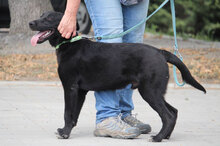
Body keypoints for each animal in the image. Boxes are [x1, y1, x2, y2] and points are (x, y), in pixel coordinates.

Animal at [29, 12, 206, 142]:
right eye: (41, 15)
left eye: (49, 18)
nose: (31, 23)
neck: (69, 43)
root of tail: (161, 52)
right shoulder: (80, 92)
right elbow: (74, 115)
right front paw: (67, 130)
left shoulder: (70, 87)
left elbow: (67, 112)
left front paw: (64, 133)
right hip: (155, 91)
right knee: (174, 111)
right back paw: (166, 136)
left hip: (149, 91)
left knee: (168, 116)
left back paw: (157, 138)